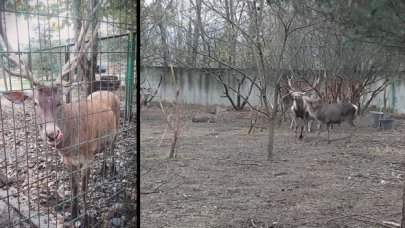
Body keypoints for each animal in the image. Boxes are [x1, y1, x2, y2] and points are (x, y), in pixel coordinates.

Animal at [0, 3, 117, 224]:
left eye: (60, 102)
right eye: (35, 103)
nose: (52, 134)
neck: (71, 146)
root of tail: (109, 91)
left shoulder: (87, 156)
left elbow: (84, 190)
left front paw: (86, 219)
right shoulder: (68, 162)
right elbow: (73, 188)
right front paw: (72, 215)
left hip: (117, 128)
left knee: (113, 148)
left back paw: (112, 170)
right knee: (105, 149)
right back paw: (104, 169)